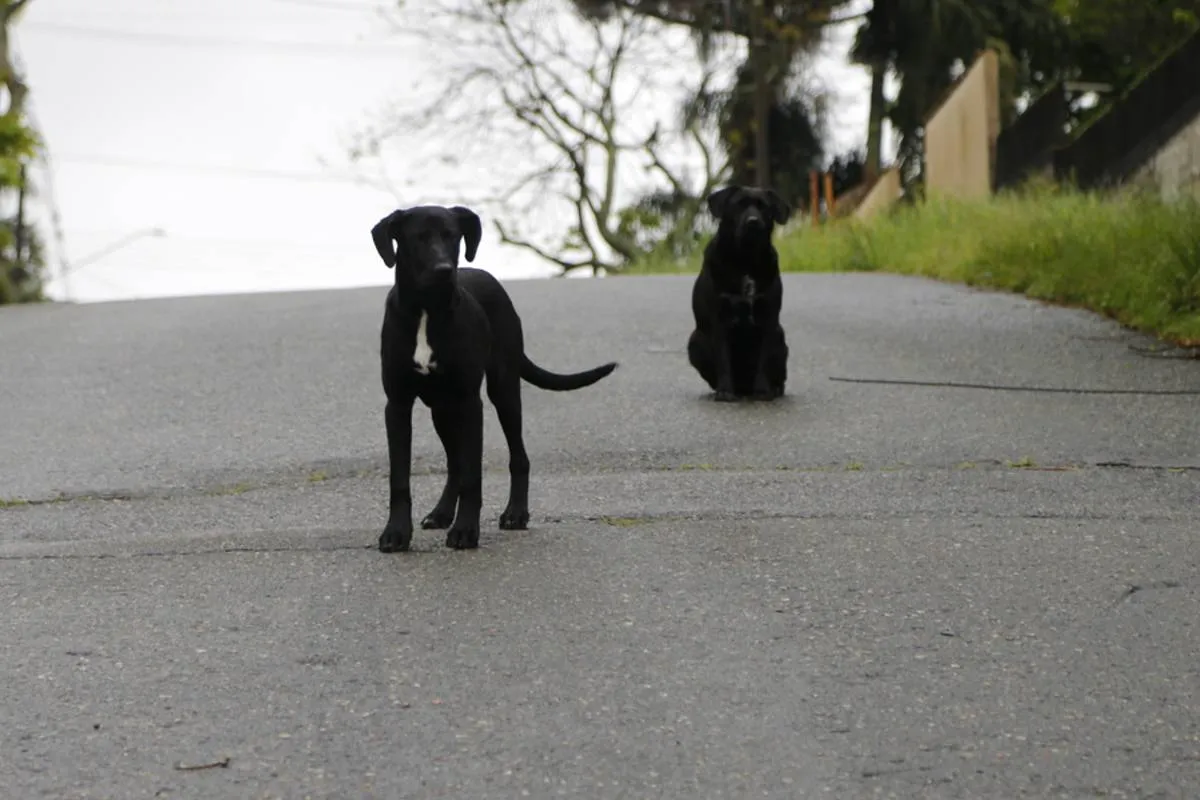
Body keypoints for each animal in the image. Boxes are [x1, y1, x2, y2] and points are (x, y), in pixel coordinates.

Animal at [369, 203, 619, 551]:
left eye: (453, 236)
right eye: (418, 238)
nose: (445, 269)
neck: (426, 311)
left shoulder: (470, 401)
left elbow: (473, 475)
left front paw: (465, 531)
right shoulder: (397, 404)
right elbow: (400, 478)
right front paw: (396, 533)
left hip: (503, 390)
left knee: (517, 457)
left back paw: (515, 514)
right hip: (442, 409)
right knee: (454, 463)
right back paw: (441, 513)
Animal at [691, 185, 792, 402]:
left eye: (764, 207)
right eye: (739, 205)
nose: (753, 222)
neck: (745, 260)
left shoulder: (769, 319)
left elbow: (764, 360)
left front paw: (763, 391)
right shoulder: (719, 319)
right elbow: (723, 360)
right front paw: (725, 391)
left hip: (781, 338)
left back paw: (773, 388)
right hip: (695, 342)